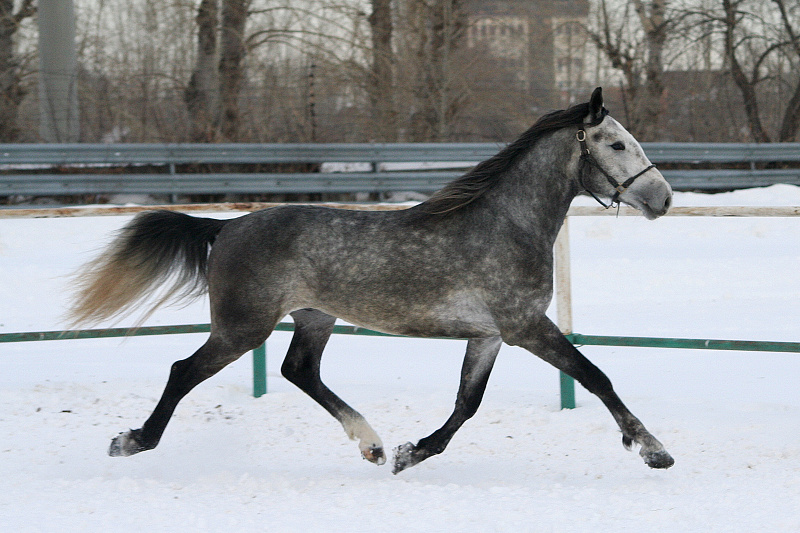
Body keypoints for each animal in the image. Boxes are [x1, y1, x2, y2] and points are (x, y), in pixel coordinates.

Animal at [68, 87, 674, 473]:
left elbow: (467, 403)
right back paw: (132, 441)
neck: (506, 223)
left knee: (299, 371)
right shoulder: (525, 326)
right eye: (616, 144)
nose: (663, 198)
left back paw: (373, 445)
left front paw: (411, 454)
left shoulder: (489, 335)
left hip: (314, 317)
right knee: (184, 371)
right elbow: (596, 376)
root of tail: (227, 225)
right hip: (242, 328)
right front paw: (653, 450)